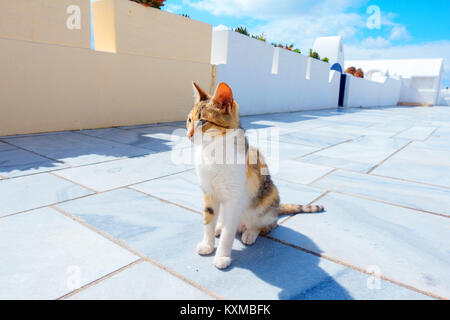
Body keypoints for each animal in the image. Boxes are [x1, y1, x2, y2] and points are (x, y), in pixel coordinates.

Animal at [186, 81, 324, 268]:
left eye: (203, 121)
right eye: (189, 120)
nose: (188, 135)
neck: (213, 152)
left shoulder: (234, 198)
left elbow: (229, 232)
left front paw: (222, 256)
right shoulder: (208, 192)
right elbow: (208, 220)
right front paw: (207, 244)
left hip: (268, 199)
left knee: (265, 225)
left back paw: (250, 233)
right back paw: (219, 227)